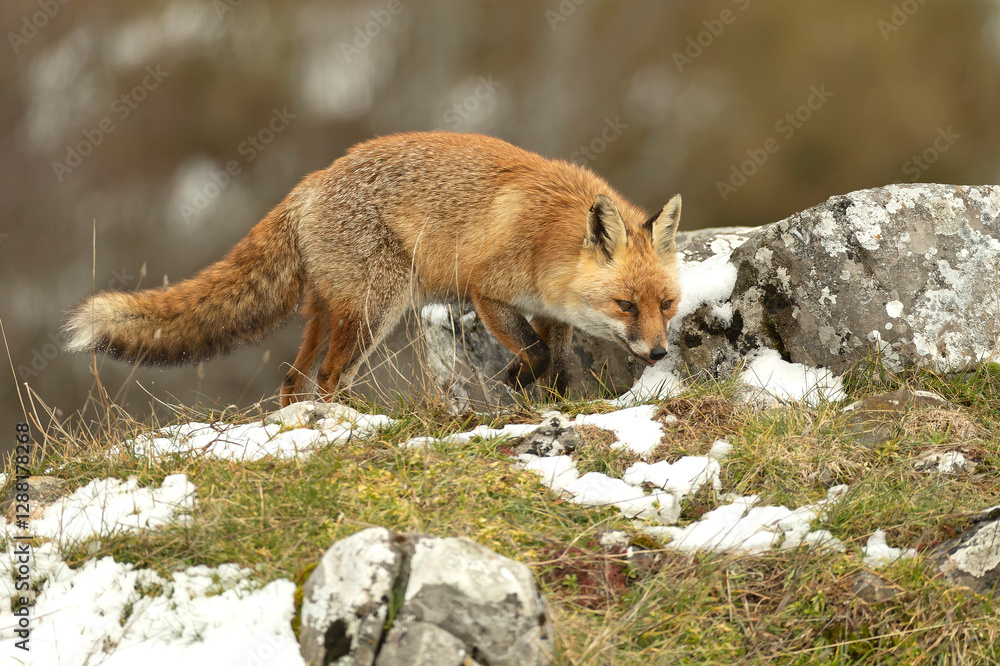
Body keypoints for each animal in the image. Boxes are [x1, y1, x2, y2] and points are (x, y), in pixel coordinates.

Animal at [64, 131, 682, 405]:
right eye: (626, 305)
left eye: (668, 304)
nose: (658, 354)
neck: (548, 238)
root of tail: (309, 184)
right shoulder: (488, 292)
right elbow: (532, 353)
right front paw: (516, 380)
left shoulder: (550, 312)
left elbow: (553, 360)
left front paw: (546, 399)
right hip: (375, 307)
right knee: (329, 377)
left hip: (329, 311)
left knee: (294, 380)